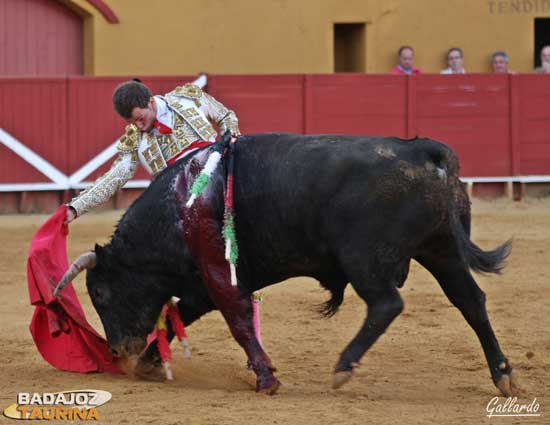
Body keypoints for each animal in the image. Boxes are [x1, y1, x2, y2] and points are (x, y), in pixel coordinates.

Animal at [58, 132, 520, 394]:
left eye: (101, 292)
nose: (119, 351)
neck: (179, 204)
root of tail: (424, 150)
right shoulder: (200, 285)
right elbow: (183, 319)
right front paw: (151, 364)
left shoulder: (218, 274)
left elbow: (238, 320)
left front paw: (266, 379)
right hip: (440, 248)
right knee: (470, 300)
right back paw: (503, 375)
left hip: (365, 257)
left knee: (388, 304)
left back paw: (343, 367)